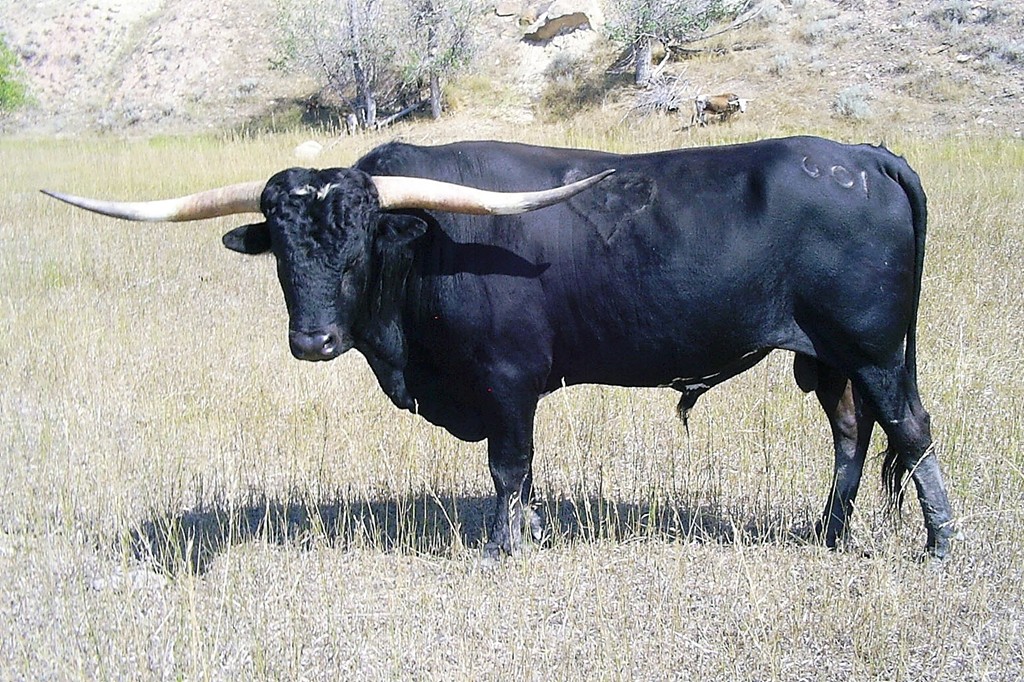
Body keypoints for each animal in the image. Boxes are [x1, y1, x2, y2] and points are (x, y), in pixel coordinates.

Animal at [43, 136, 955, 560]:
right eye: (283, 251)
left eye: (358, 244)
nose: (313, 339)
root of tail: (863, 154)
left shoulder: (510, 383)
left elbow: (509, 469)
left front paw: (504, 547)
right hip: (829, 359)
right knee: (852, 434)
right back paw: (827, 533)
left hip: (874, 348)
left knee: (910, 430)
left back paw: (940, 544)